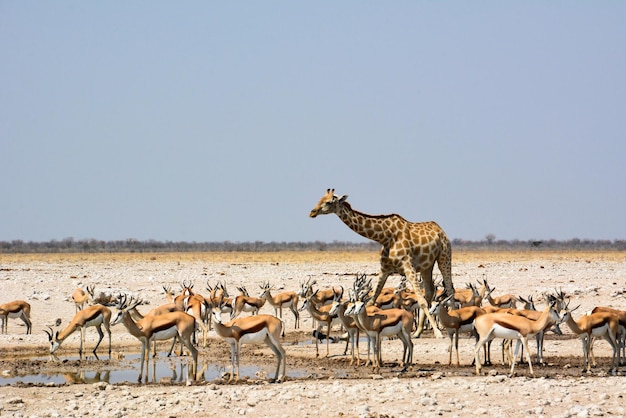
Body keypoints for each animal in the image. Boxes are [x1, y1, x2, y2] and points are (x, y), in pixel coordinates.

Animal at [308, 188, 450, 338]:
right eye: (320, 199)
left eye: (329, 202)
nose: (312, 212)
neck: (385, 237)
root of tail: (439, 229)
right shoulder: (384, 269)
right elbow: (371, 300)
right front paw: (348, 333)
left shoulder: (408, 267)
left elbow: (421, 301)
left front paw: (438, 333)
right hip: (426, 266)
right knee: (429, 291)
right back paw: (417, 332)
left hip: (444, 257)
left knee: (449, 288)